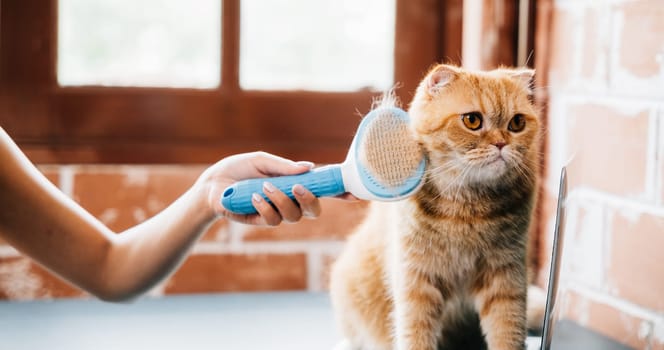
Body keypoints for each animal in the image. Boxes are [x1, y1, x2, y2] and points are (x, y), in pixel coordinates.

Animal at [330, 63, 544, 350]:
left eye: (517, 123)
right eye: (472, 120)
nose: (501, 143)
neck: (467, 209)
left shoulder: (506, 277)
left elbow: (507, 332)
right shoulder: (417, 283)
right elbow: (415, 336)